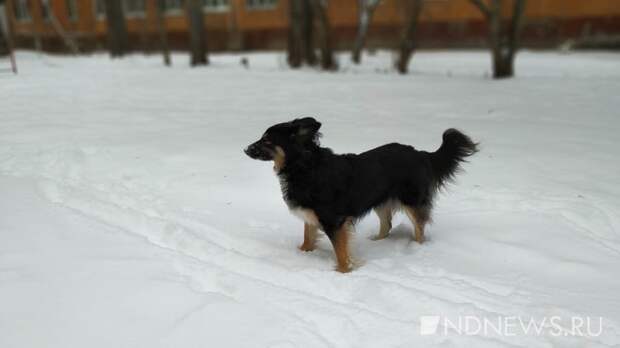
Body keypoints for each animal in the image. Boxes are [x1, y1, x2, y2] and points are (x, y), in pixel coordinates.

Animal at [245, 117, 478, 272]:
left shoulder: (334, 221)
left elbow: (341, 252)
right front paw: (302, 253)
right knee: (387, 224)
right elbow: (307, 238)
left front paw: (344, 272)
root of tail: (421, 154)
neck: (304, 167)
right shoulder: (311, 216)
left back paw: (416, 248)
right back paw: (377, 241)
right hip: (381, 200)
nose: (245, 149)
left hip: (411, 201)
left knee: (420, 227)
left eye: (267, 140)